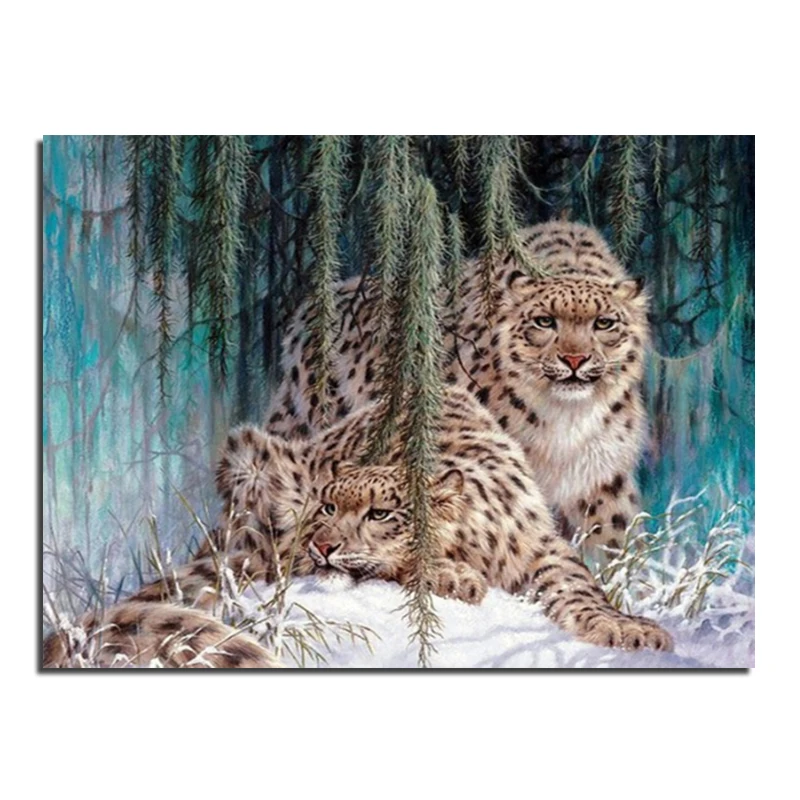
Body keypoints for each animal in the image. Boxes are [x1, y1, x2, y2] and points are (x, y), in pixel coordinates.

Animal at [265, 220, 650, 552]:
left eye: (604, 323)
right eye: (544, 321)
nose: (575, 359)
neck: (565, 420)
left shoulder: (602, 477)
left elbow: (614, 538)